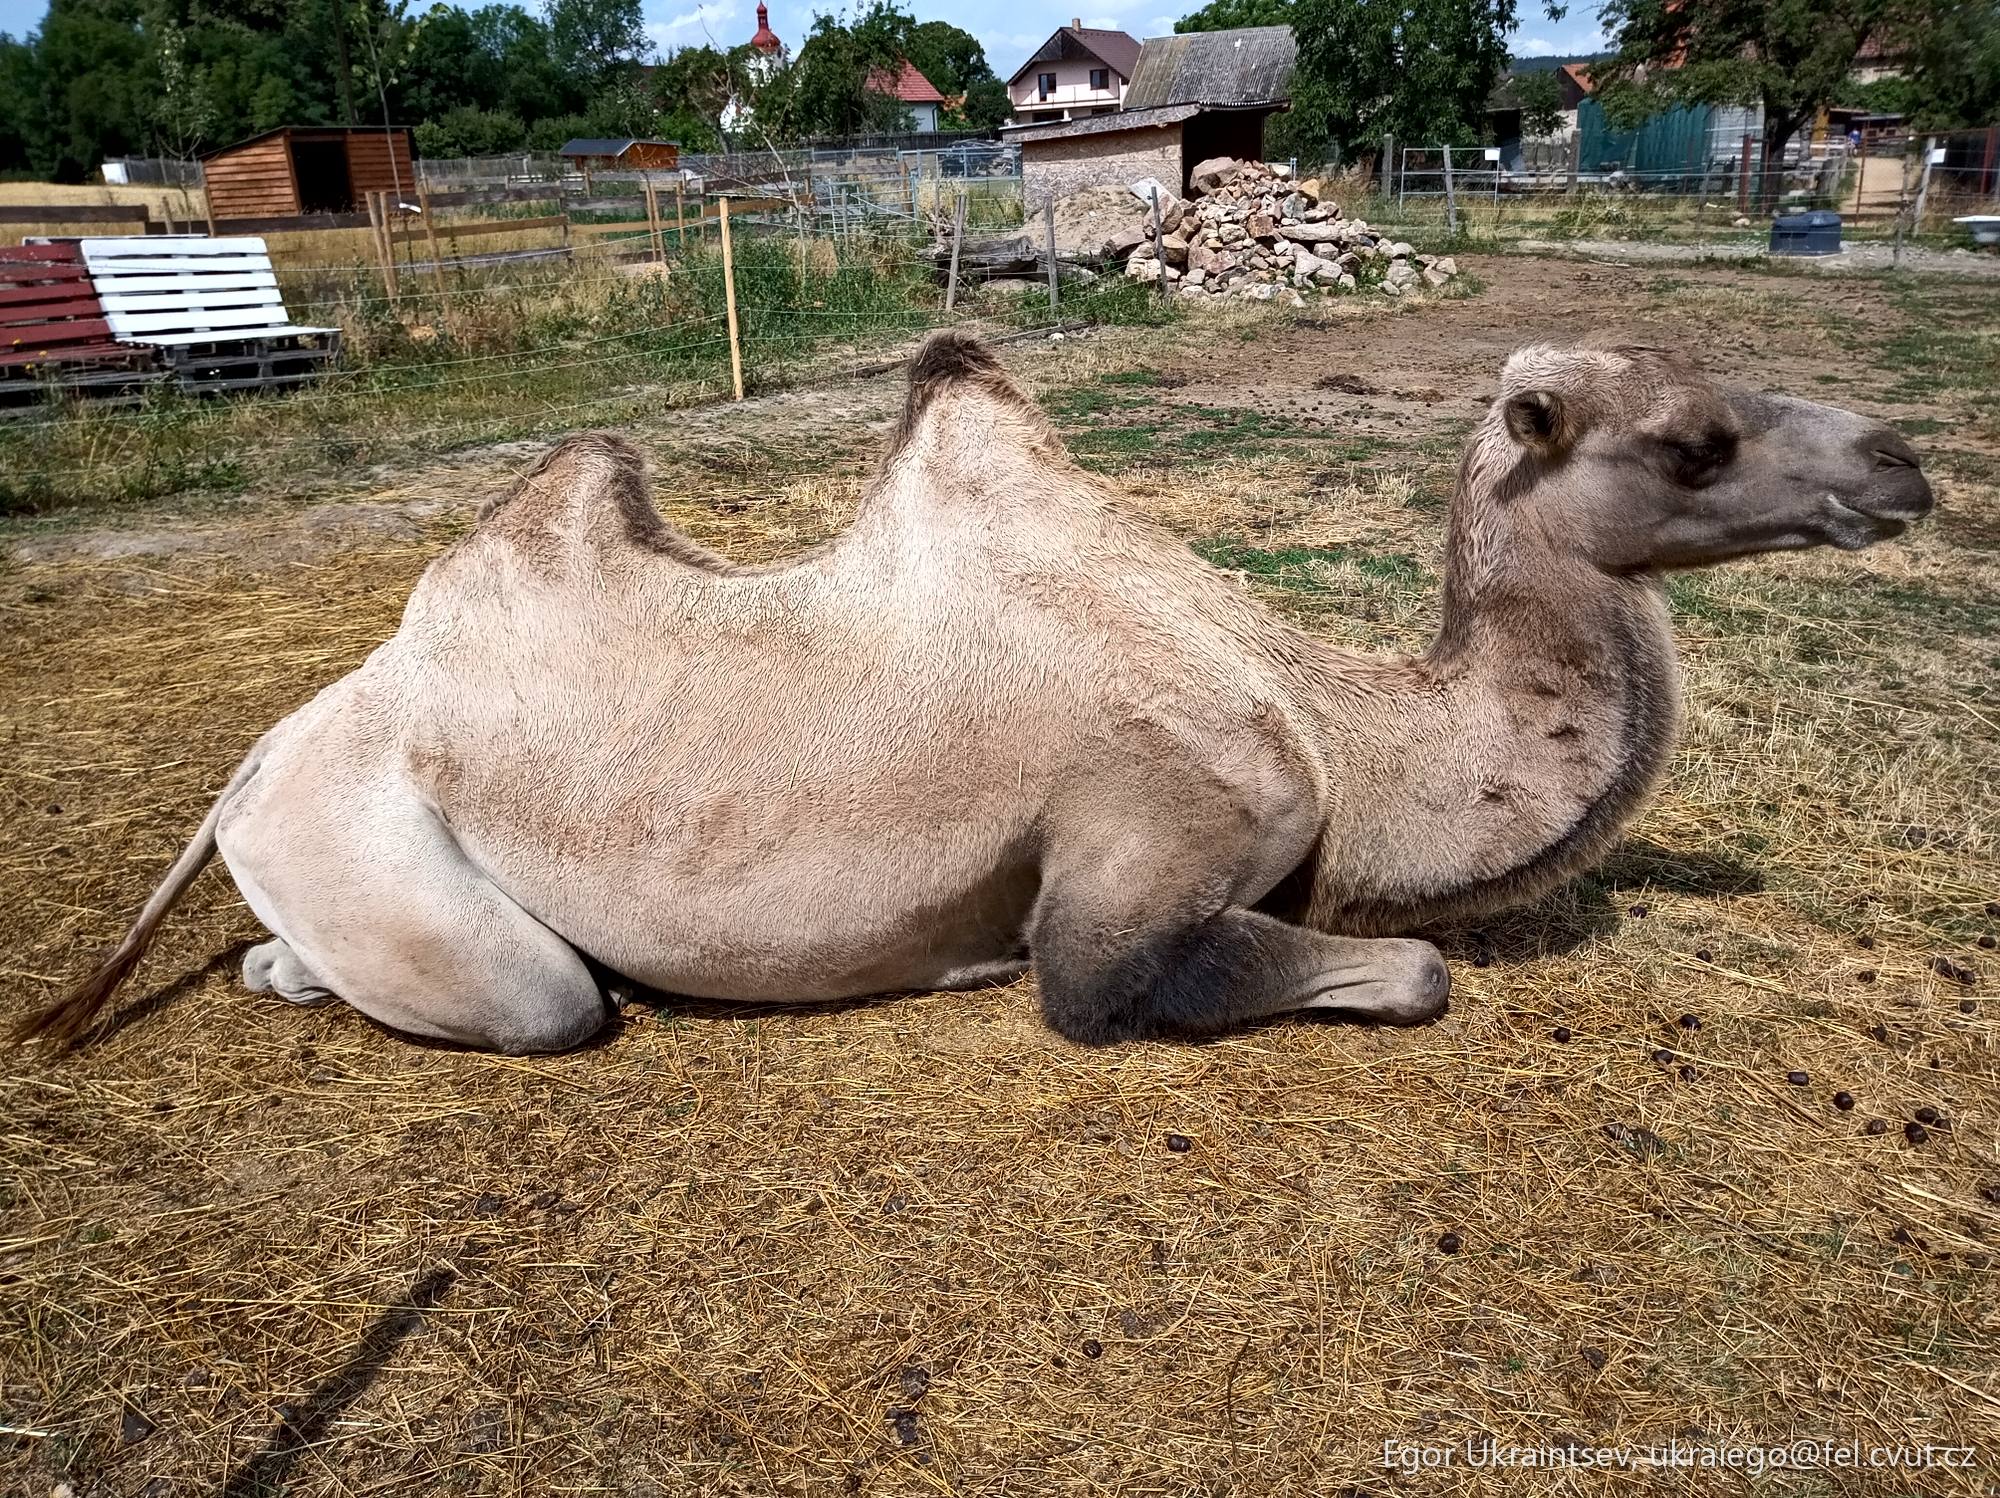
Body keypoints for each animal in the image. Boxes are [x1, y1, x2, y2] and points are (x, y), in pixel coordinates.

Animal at [18, 333, 1932, 1054]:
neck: (1337, 726)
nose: (1906, 462)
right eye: (1694, 440)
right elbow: (1390, 967)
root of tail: (269, 741)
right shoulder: (1150, 841)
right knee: (537, 993)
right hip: (384, 849)